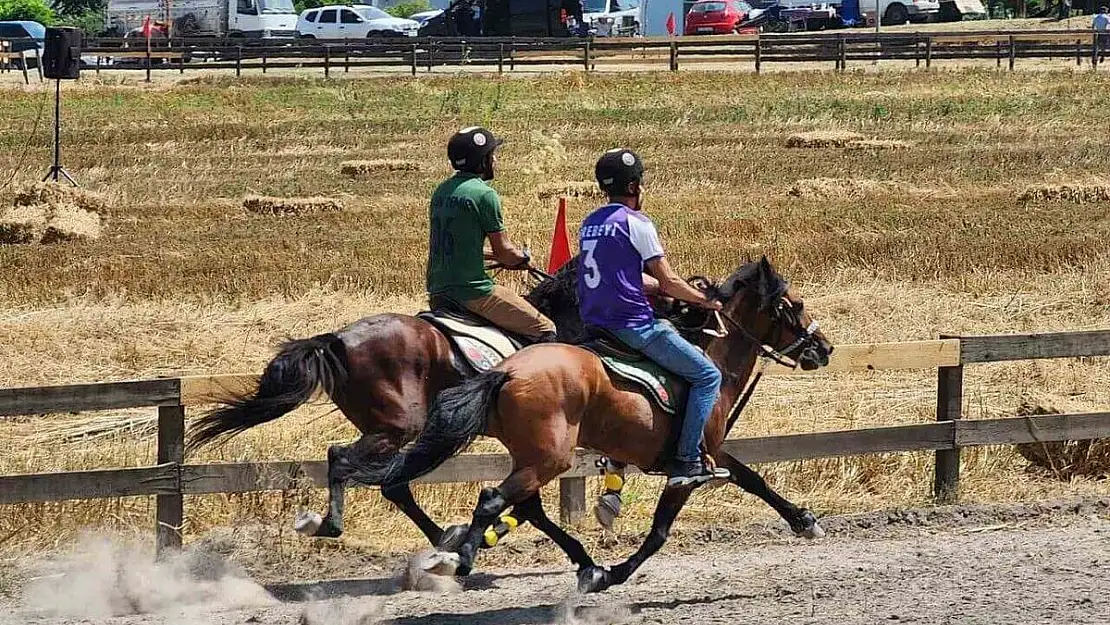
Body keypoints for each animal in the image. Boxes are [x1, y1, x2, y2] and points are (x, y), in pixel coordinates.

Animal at [355, 256, 834, 590]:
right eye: (796, 304)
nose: (825, 348)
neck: (712, 357)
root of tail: (508, 370)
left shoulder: (712, 452)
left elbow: (754, 479)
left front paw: (803, 520)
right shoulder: (691, 466)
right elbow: (659, 532)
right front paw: (615, 572)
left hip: (533, 456)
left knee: (523, 504)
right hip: (549, 458)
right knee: (495, 498)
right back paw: (465, 556)